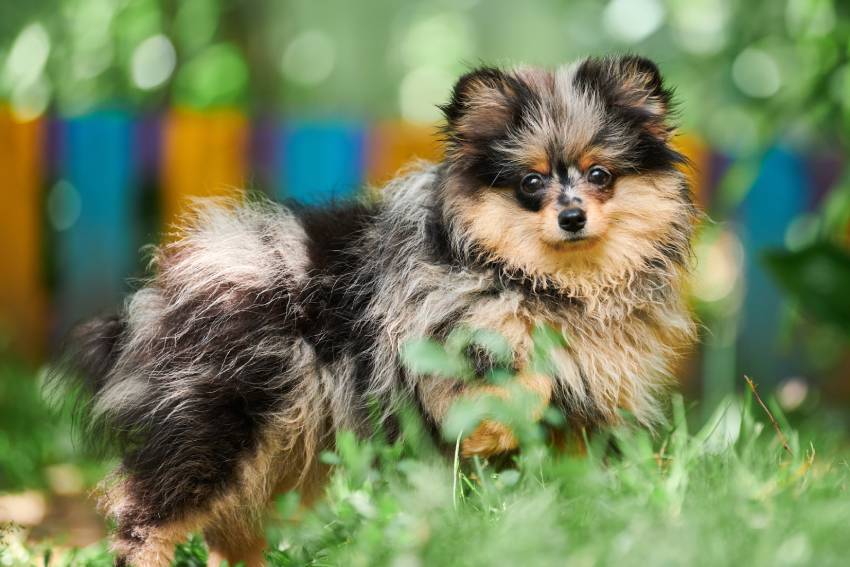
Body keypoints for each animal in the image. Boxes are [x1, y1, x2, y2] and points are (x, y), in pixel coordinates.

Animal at [53, 54, 692, 567]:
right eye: (530, 183)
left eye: (600, 174)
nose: (572, 216)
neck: (543, 282)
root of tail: (153, 302)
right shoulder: (436, 335)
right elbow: (516, 380)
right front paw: (491, 429)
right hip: (220, 419)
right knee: (149, 518)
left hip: (282, 449)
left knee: (232, 529)